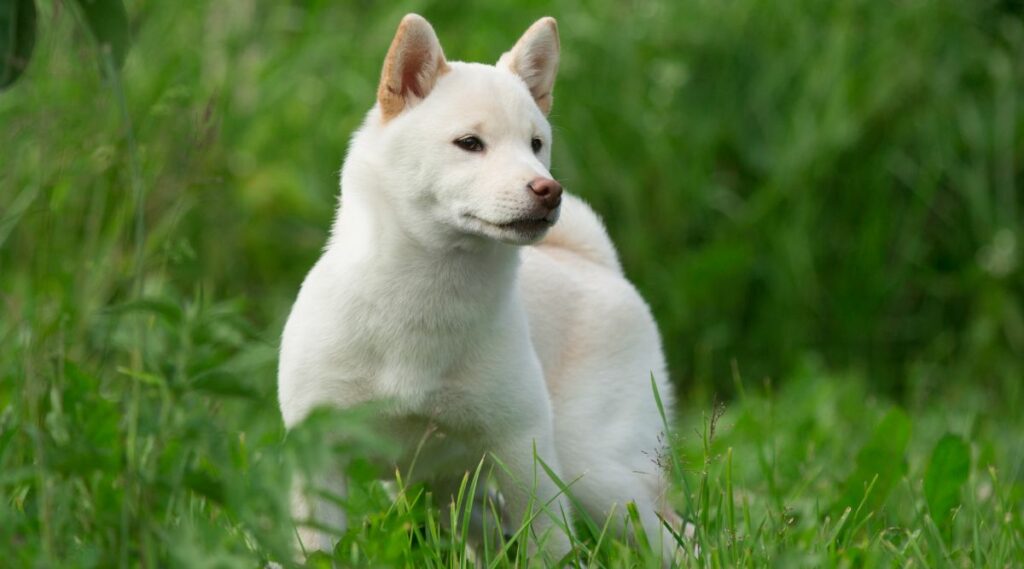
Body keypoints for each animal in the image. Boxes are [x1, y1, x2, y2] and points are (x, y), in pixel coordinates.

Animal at [280, 14, 679, 564]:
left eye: (536, 144)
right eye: (470, 143)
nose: (549, 189)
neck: (425, 299)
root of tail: (595, 263)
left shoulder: (524, 452)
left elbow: (549, 545)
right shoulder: (320, 460)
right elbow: (318, 549)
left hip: (598, 478)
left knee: (682, 536)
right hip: (454, 495)